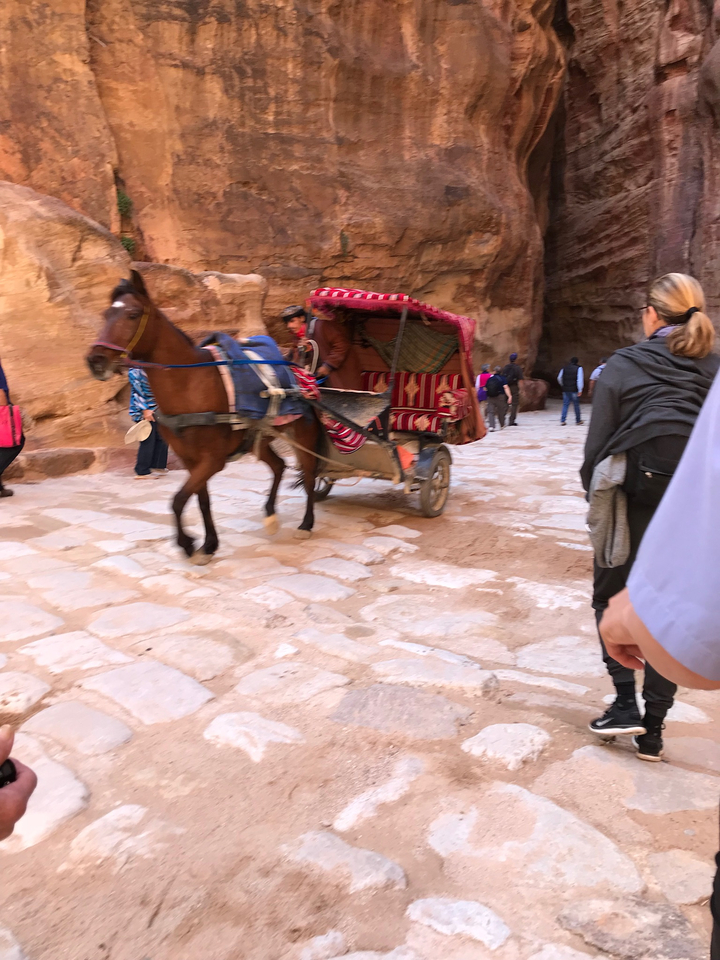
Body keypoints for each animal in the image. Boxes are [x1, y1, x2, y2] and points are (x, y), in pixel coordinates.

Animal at [86, 270, 320, 562]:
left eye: (132, 313)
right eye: (106, 313)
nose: (95, 360)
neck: (190, 384)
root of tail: (301, 371)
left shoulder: (212, 459)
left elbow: (177, 500)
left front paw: (187, 543)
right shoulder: (190, 459)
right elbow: (201, 500)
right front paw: (208, 544)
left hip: (303, 435)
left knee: (309, 475)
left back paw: (306, 524)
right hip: (259, 439)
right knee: (278, 466)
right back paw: (270, 515)